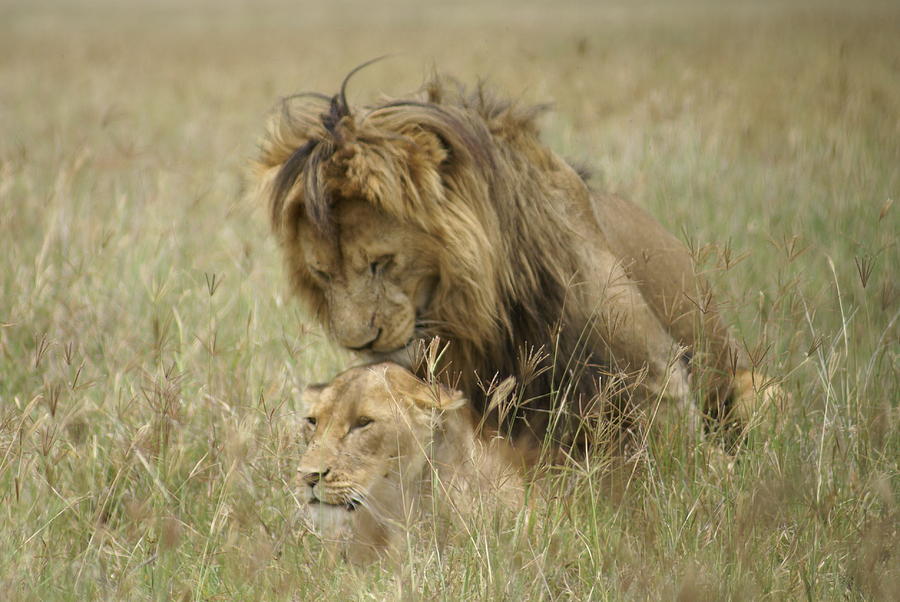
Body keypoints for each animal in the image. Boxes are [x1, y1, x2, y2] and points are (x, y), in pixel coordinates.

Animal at [258, 68, 772, 448]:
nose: (361, 344)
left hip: (759, 391)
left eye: (381, 262)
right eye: (322, 273)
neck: (487, 313)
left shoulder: (656, 373)